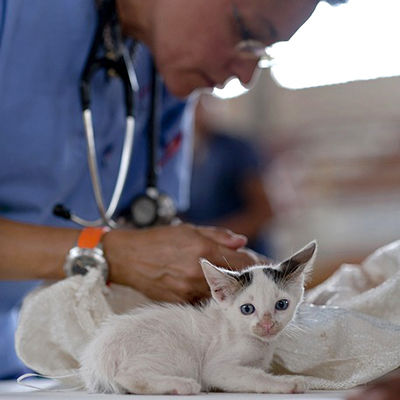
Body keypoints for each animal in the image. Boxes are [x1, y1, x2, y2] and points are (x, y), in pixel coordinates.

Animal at [79, 241, 316, 394]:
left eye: (281, 305)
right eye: (247, 309)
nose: (267, 324)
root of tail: (97, 358)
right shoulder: (216, 367)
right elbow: (252, 377)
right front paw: (289, 383)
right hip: (179, 356)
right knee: (127, 376)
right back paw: (181, 386)